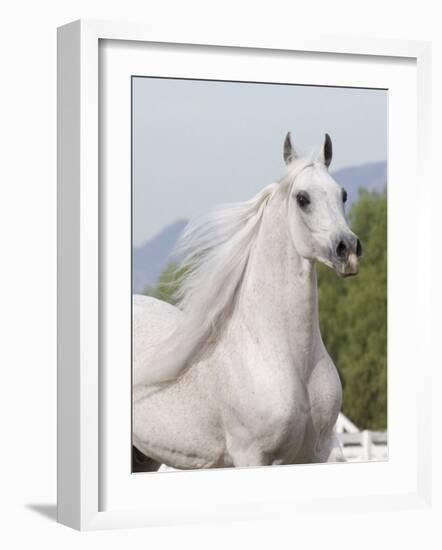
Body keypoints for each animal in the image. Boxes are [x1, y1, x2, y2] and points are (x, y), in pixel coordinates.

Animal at [133, 135, 360, 474]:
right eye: (302, 198)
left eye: (342, 194)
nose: (349, 250)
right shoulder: (251, 455)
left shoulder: (324, 450)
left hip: (143, 455)